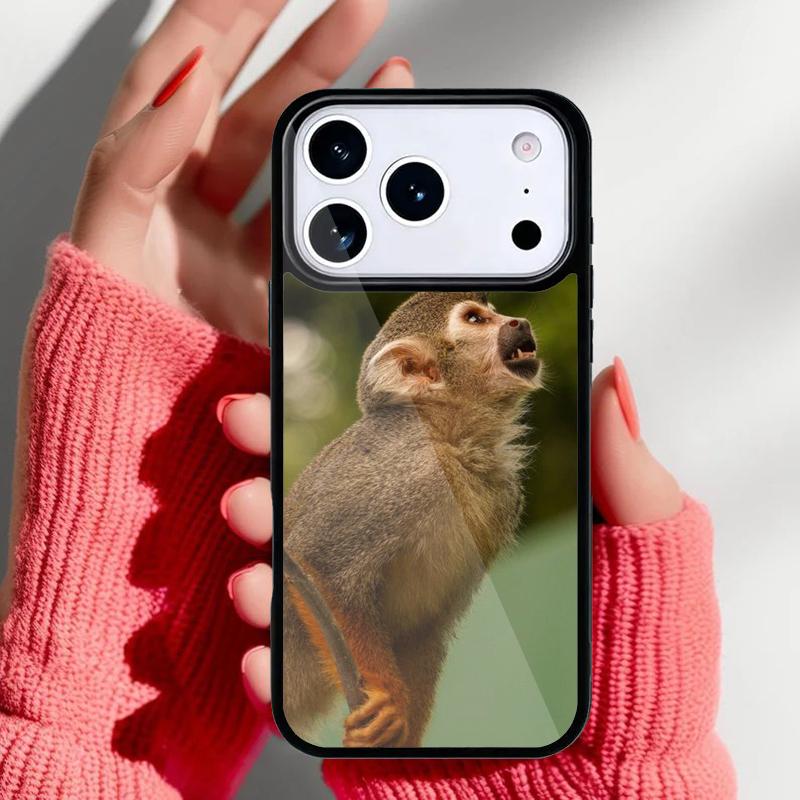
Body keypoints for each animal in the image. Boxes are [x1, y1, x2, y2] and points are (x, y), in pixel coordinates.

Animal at [282, 291, 542, 748]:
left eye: (492, 313)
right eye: (476, 319)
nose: (518, 322)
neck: (451, 439)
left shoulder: (504, 498)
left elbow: (424, 628)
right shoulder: (409, 473)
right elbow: (318, 559)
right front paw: (387, 696)